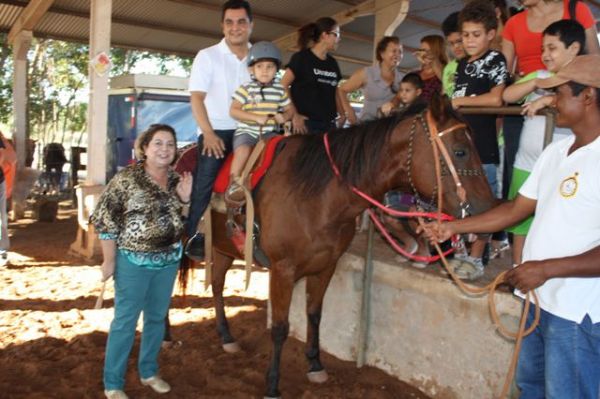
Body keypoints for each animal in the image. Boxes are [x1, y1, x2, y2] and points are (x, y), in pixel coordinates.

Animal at [204, 96, 494, 396]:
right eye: (460, 151)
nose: (488, 208)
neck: (314, 196)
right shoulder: (282, 271)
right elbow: (280, 327)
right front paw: (272, 385)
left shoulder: (326, 266)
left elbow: (314, 315)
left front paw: (315, 365)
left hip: (223, 248)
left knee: (216, 284)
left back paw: (226, 336)